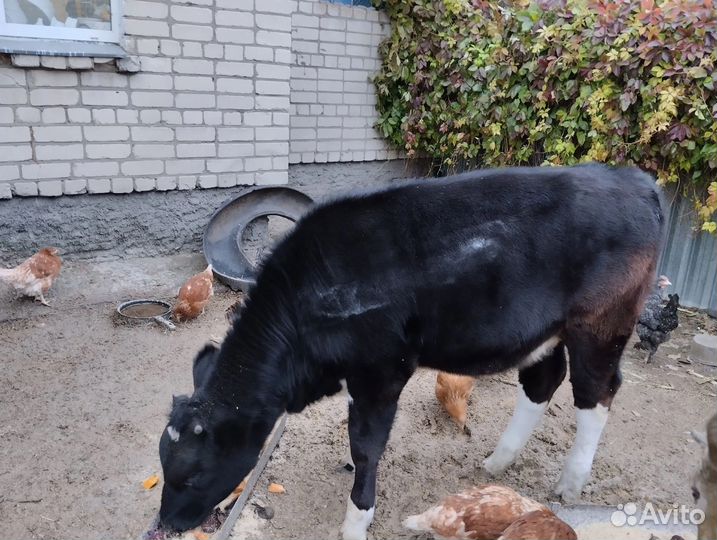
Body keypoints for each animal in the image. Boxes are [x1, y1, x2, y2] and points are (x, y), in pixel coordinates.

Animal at [157, 164, 665, 540]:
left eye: (193, 476)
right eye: (163, 464)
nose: (166, 524)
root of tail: (633, 179)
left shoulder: (380, 371)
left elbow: (366, 445)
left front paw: (356, 519)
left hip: (601, 325)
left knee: (595, 393)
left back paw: (570, 482)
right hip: (545, 333)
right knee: (543, 382)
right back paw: (498, 462)